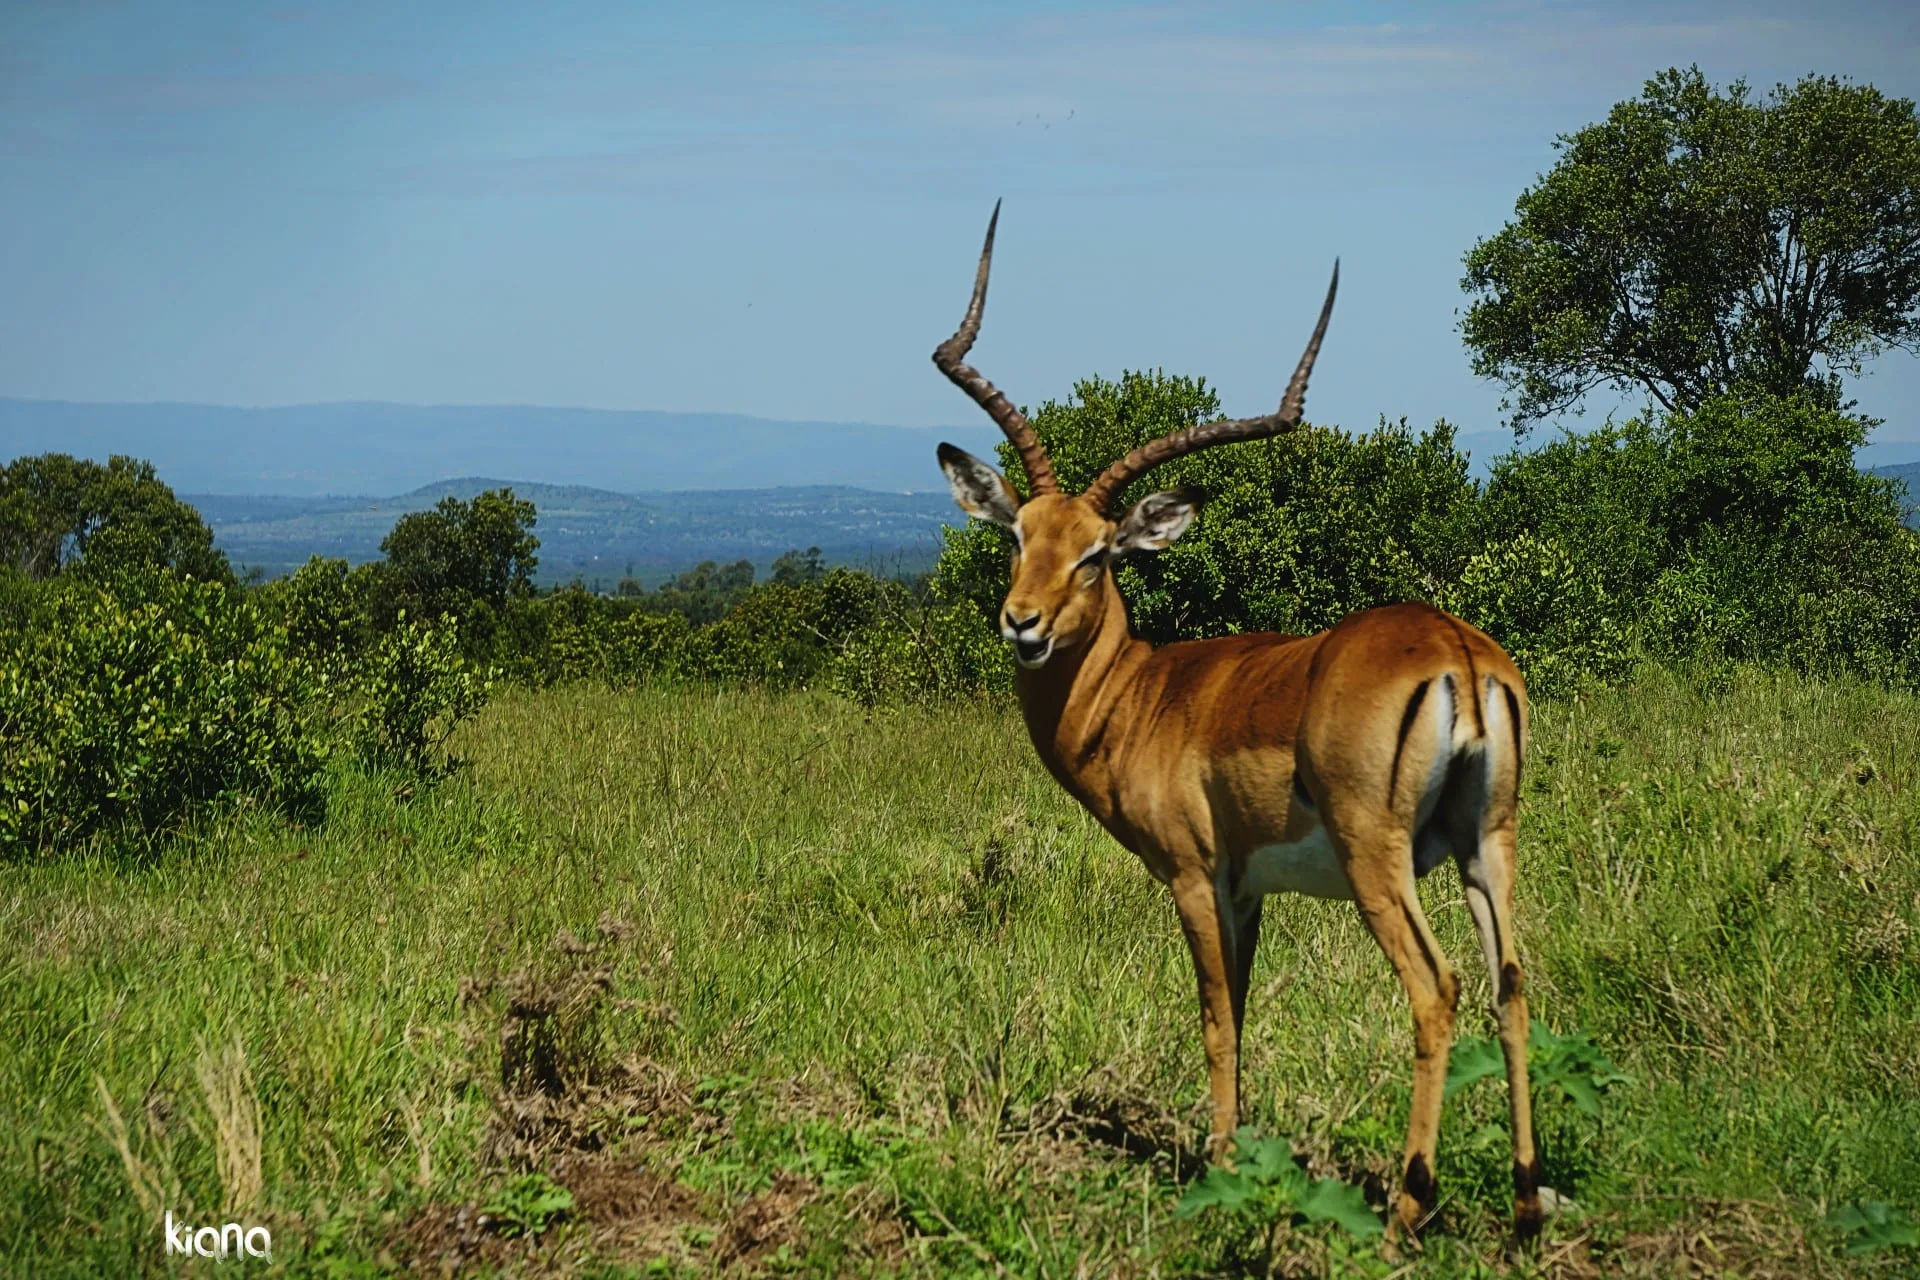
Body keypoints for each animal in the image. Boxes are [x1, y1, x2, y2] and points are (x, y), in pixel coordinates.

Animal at [930, 204, 1543, 1242]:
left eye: (1097, 553)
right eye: (1019, 536)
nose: (1023, 622)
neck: (1141, 698)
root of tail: (1457, 653)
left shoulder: (1192, 876)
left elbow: (1216, 1016)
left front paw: (1214, 1167)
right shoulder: (1250, 891)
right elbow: (1246, 1010)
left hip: (1378, 860)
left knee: (1438, 990)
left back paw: (1406, 1209)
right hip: (1485, 845)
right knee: (1511, 982)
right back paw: (1529, 1205)